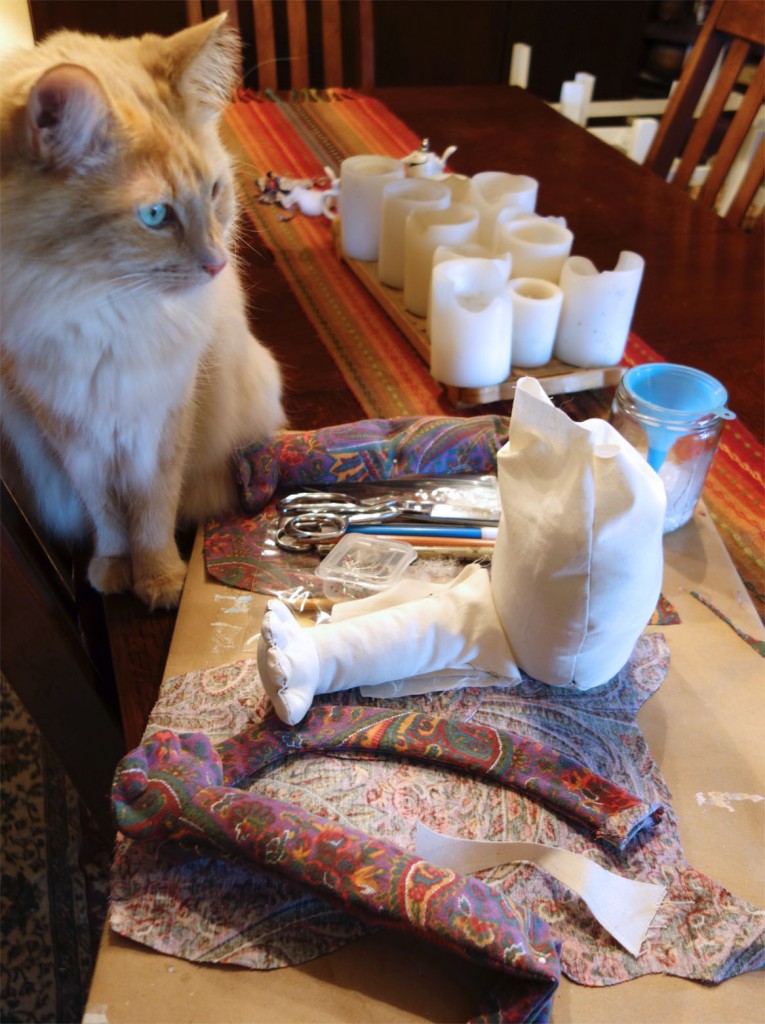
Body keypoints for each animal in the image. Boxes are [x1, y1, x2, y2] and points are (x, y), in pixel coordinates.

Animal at [0, 16, 284, 606]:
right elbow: (108, 517)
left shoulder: (160, 419)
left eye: (215, 192)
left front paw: (160, 581)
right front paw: (115, 572)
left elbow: (152, 510)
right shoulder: (69, 430)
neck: (103, 309)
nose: (218, 264)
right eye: (155, 215)